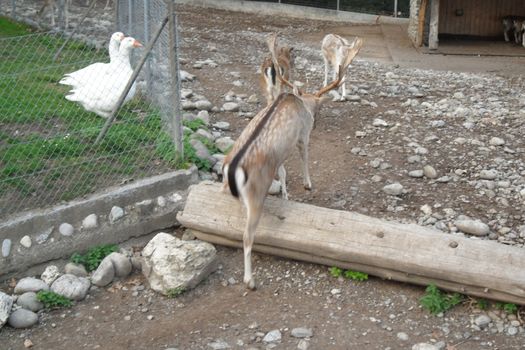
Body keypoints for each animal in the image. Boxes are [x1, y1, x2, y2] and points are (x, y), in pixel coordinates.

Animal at [220, 32, 360, 290]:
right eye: (318, 111)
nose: (317, 120)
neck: (301, 102)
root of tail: (233, 168)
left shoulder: (280, 154)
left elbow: (284, 173)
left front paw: (286, 195)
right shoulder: (302, 136)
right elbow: (305, 158)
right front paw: (307, 185)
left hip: (226, 184)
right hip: (256, 194)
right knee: (247, 236)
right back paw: (250, 280)